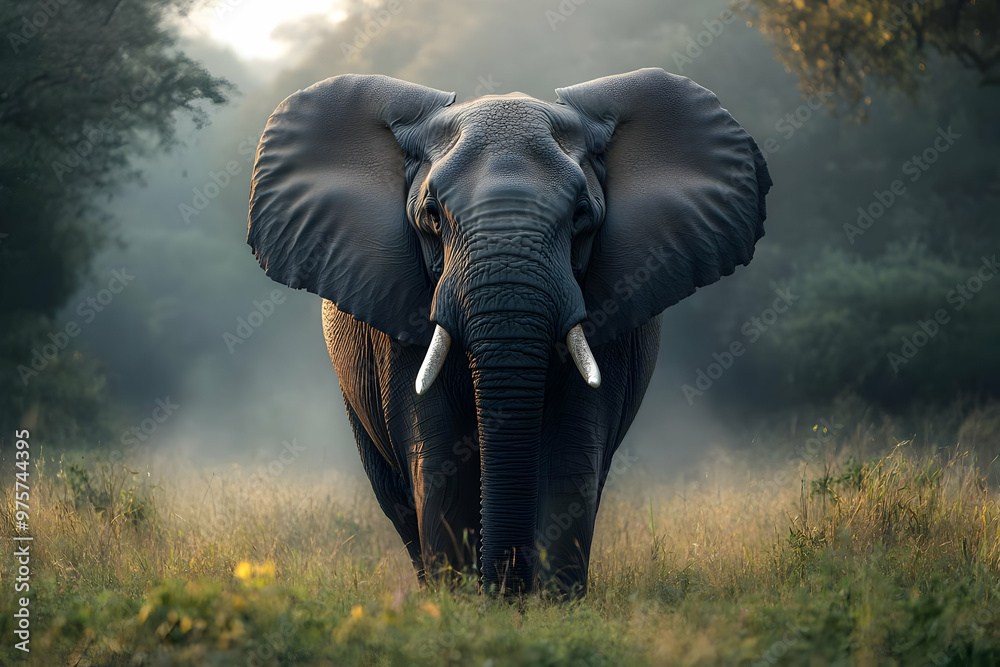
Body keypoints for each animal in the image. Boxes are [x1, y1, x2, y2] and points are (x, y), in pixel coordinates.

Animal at [246, 68, 772, 596]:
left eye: (581, 215)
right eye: (432, 215)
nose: (505, 592)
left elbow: (571, 452)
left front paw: (554, 603)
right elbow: (437, 452)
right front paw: (457, 602)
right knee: (393, 492)